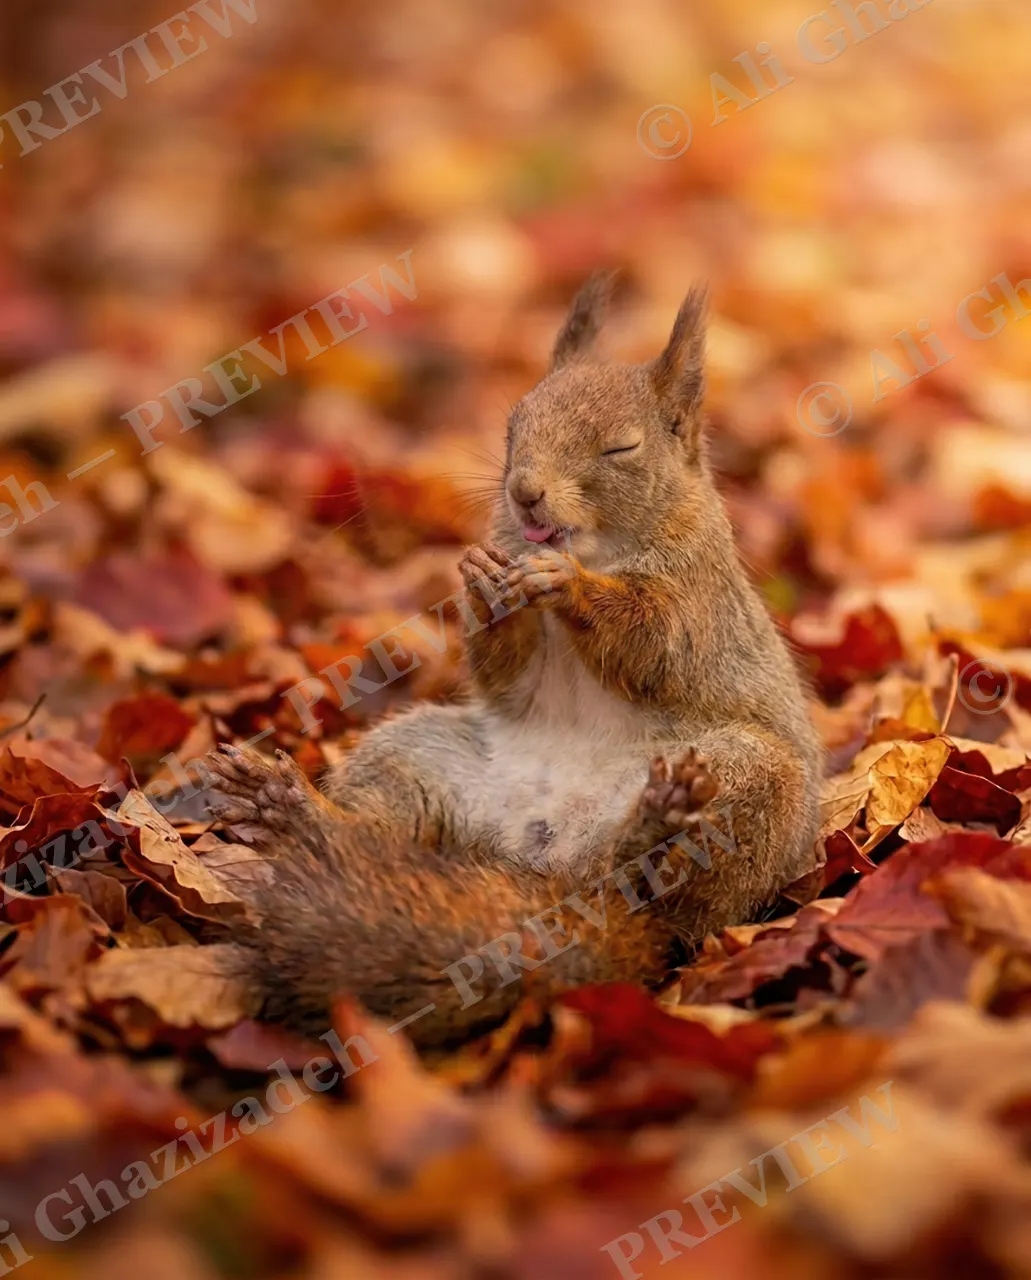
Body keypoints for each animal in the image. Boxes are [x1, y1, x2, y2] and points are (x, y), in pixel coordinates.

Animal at [205, 276, 822, 1048]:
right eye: (512, 428)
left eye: (622, 446)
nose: (525, 492)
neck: (599, 548)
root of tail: (546, 865)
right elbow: (504, 671)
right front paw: (479, 580)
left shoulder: (696, 601)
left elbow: (652, 641)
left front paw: (568, 585)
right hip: (417, 759)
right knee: (379, 827)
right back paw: (291, 808)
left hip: (748, 783)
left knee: (639, 884)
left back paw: (653, 821)